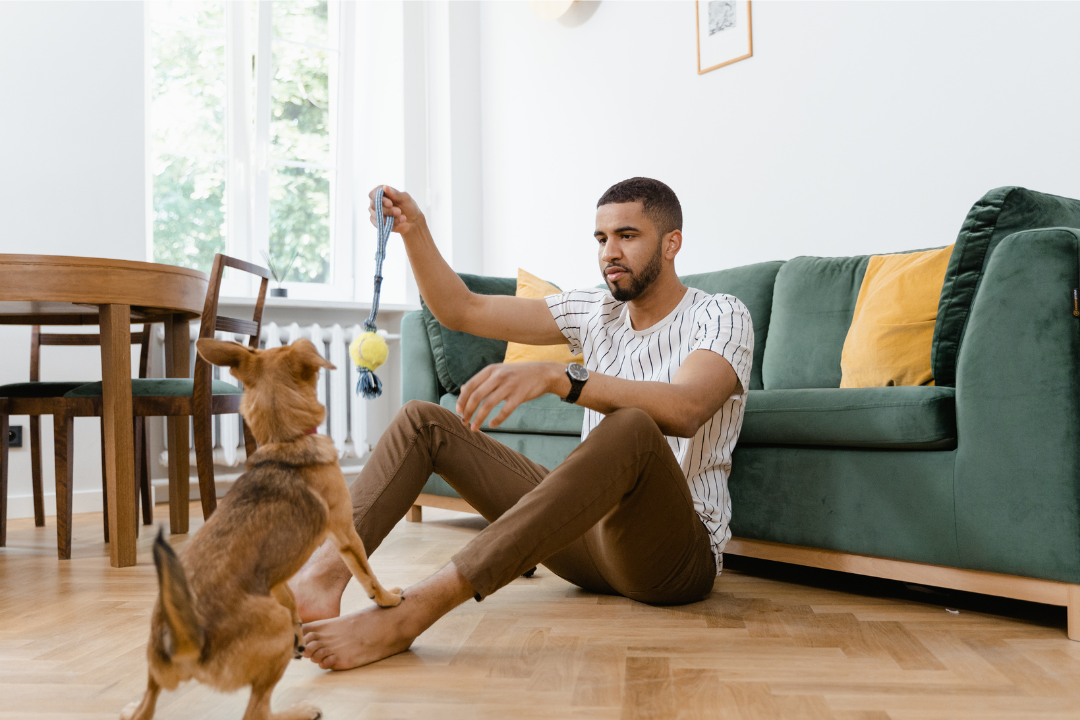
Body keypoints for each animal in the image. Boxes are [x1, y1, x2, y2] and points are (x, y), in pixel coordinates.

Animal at [122, 338, 401, 720]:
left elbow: (291, 598)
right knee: (256, 712)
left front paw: (301, 628)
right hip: (273, 630)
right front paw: (388, 599)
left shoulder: (277, 574)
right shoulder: (346, 533)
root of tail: (186, 640)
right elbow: (367, 575)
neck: (285, 440)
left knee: (144, 709)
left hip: (154, 679)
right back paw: (300, 711)